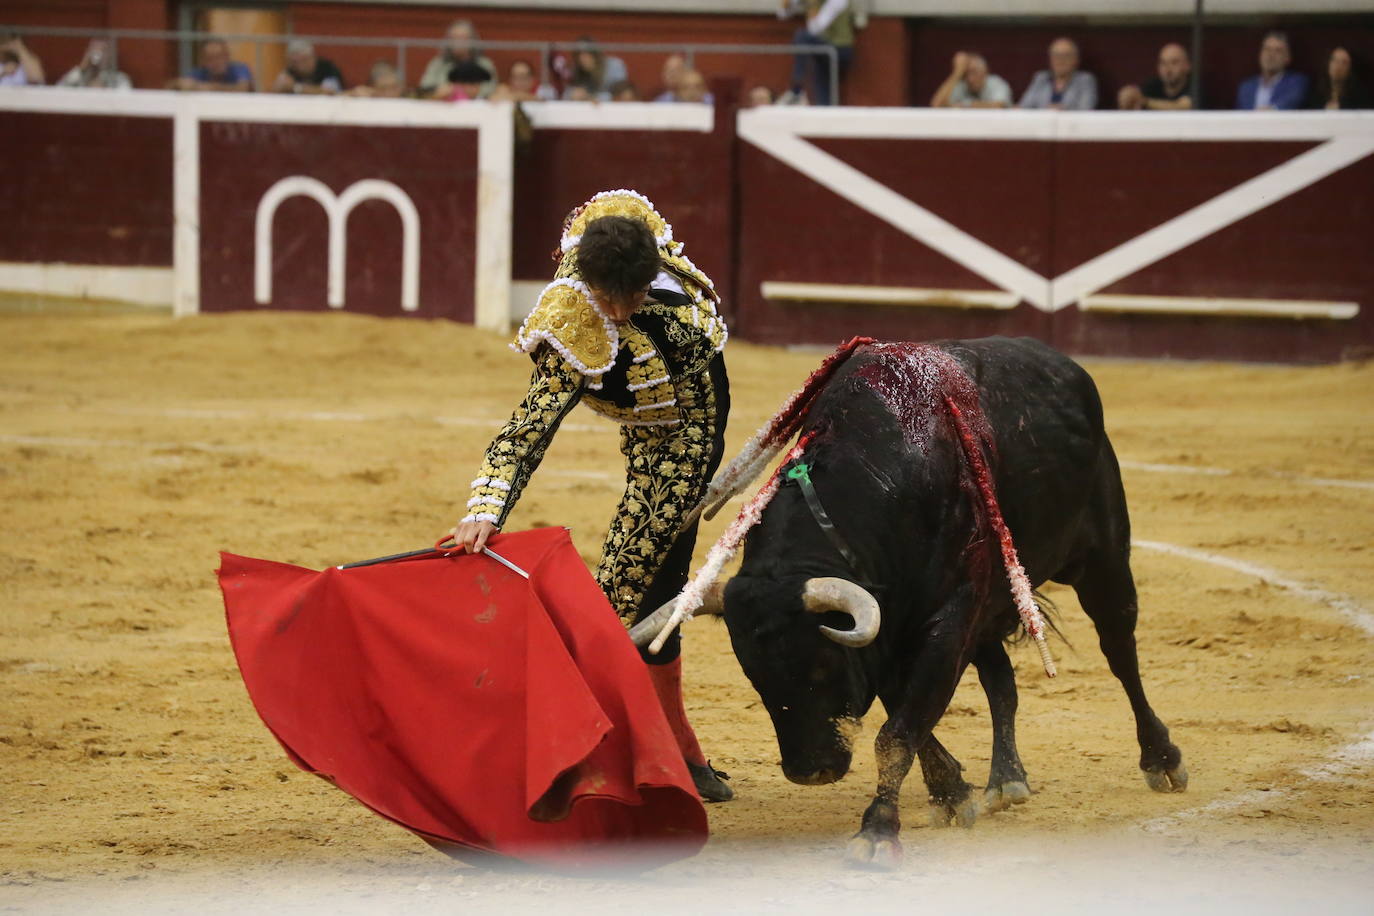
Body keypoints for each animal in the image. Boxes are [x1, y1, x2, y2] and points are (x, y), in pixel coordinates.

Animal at [632, 336, 1181, 867]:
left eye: (821, 667)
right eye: (754, 676)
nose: (810, 771)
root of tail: (1065, 366)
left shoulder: (946, 620)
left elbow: (897, 733)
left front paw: (878, 830)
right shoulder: (893, 634)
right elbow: (909, 717)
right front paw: (952, 793)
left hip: (1103, 558)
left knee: (1120, 651)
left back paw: (1162, 759)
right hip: (991, 608)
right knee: (1002, 684)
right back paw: (1006, 778)